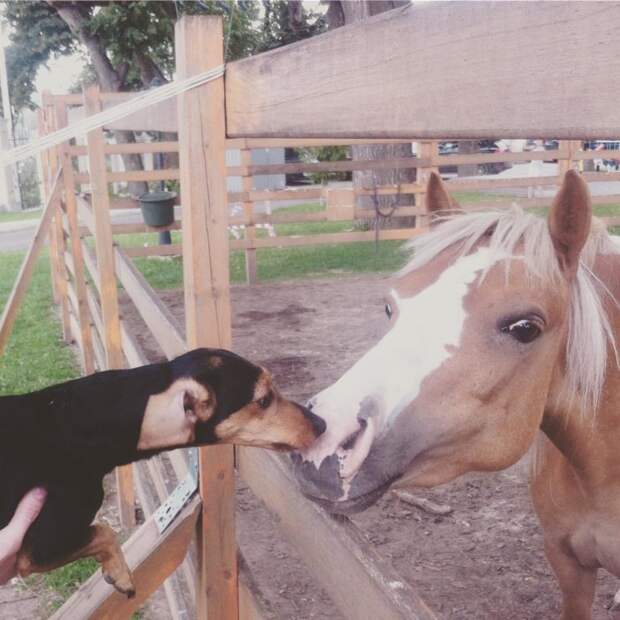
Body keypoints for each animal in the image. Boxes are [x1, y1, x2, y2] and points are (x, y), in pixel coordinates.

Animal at [0, 348, 326, 596]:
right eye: (263, 400)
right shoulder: (38, 547)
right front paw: (121, 574)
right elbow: (105, 531)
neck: (75, 417)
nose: (321, 424)